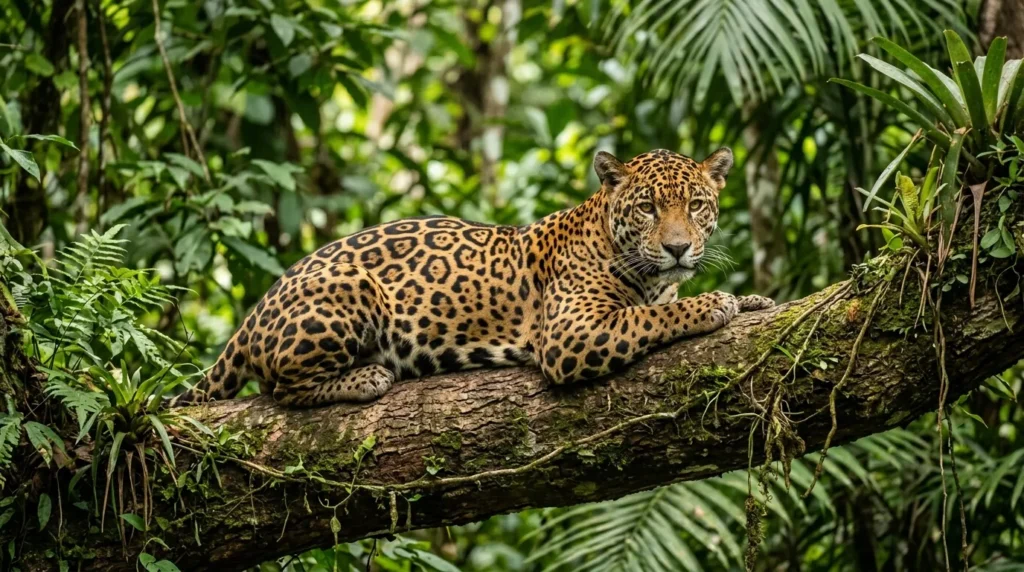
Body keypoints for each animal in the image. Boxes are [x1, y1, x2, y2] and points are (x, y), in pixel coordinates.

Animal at [171, 147, 774, 408]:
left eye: (696, 205)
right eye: (648, 207)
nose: (677, 248)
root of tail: (257, 309)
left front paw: (753, 300)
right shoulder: (571, 332)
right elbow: (652, 315)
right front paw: (712, 303)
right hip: (352, 290)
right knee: (280, 388)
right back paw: (366, 378)